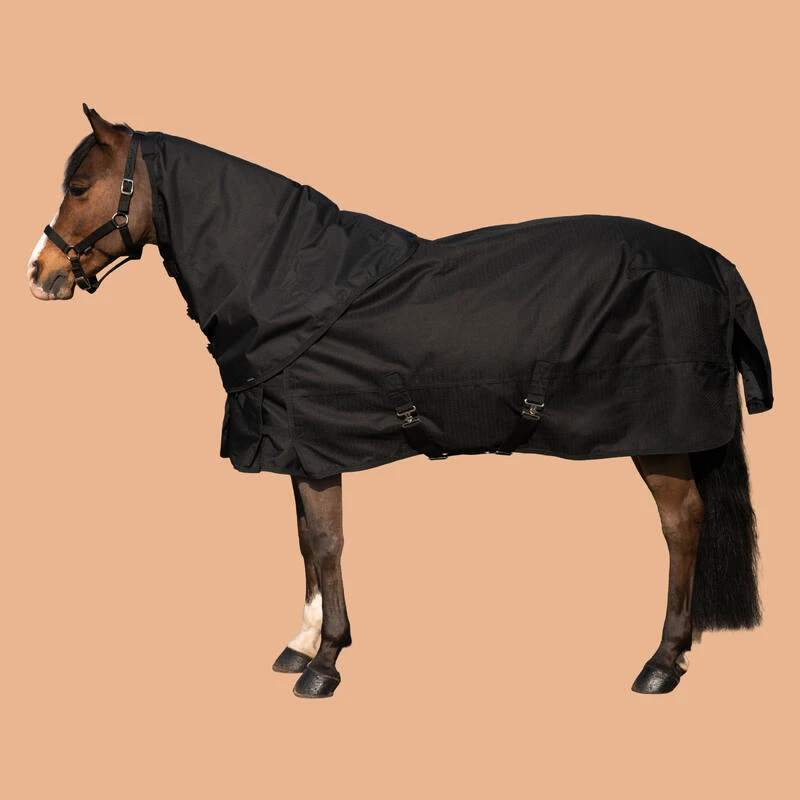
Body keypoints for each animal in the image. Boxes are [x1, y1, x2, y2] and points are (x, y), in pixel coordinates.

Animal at [27, 105, 773, 699]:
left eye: (80, 187)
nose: (40, 273)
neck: (287, 281)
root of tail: (711, 261)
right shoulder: (297, 445)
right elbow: (305, 540)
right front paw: (302, 642)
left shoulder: (316, 445)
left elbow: (328, 543)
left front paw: (324, 662)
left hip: (660, 437)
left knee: (682, 525)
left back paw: (662, 662)